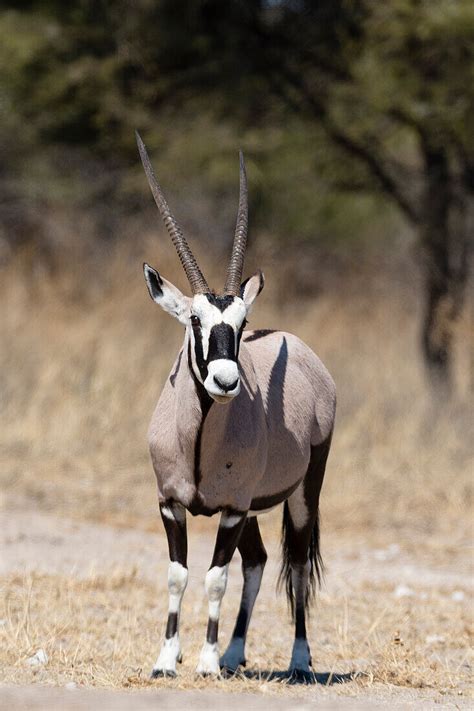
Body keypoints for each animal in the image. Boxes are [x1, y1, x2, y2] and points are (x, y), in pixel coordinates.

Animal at [136, 134, 336, 684]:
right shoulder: (171, 502)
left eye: (242, 323)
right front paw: (167, 659)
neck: (199, 440)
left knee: (293, 563)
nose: (226, 381)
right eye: (195, 320)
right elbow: (179, 575)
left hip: (301, 493)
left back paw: (298, 660)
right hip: (252, 509)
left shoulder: (230, 509)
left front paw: (203, 662)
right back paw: (234, 652)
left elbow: (215, 579)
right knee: (259, 560)